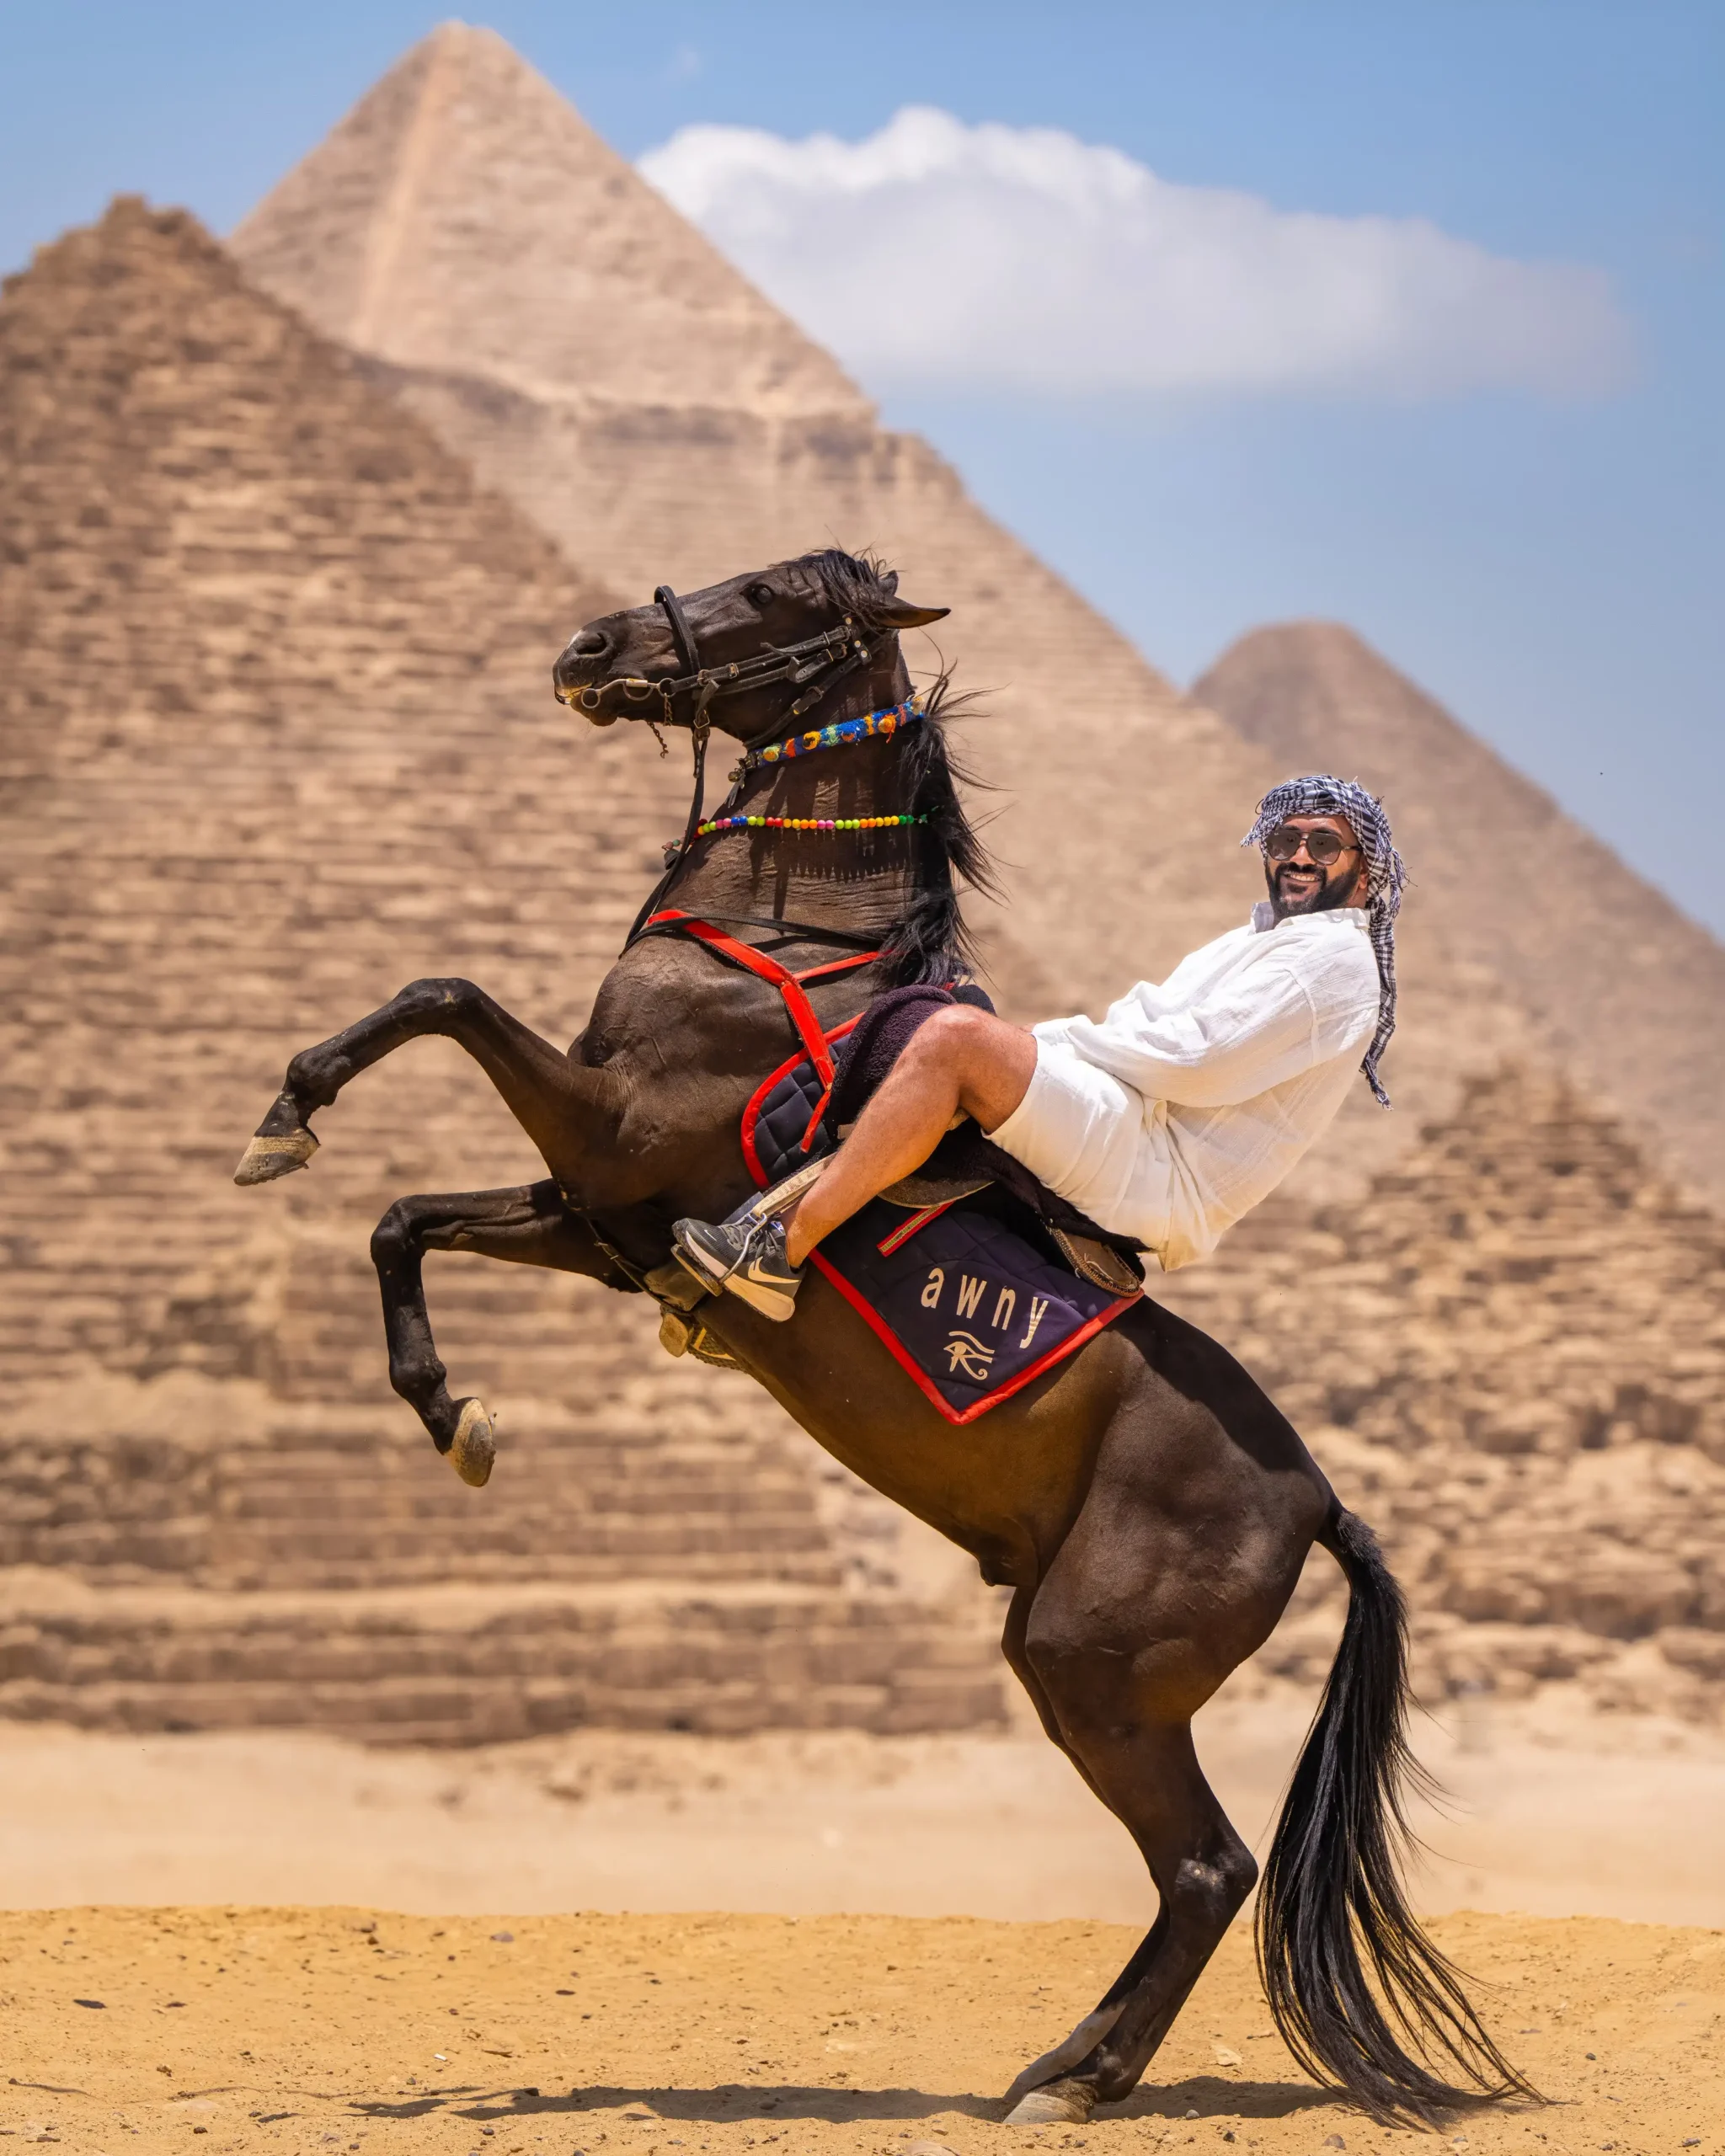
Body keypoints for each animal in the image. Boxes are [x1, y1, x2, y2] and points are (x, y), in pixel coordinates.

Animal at [234, 547, 1532, 2128]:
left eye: (775, 595)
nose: (588, 647)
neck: (791, 938)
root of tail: (1321, 1502)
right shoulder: (596, 1218)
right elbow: (402, 1222)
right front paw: (449, 1410)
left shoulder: (611, 1134)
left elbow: (442, 992)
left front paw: (292, 1105)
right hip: (1073, 1661)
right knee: (1196, 1873)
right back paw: (1068, 2066)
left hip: (1089, 1666)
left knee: (1205, 1865)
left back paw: (1075, 2081)